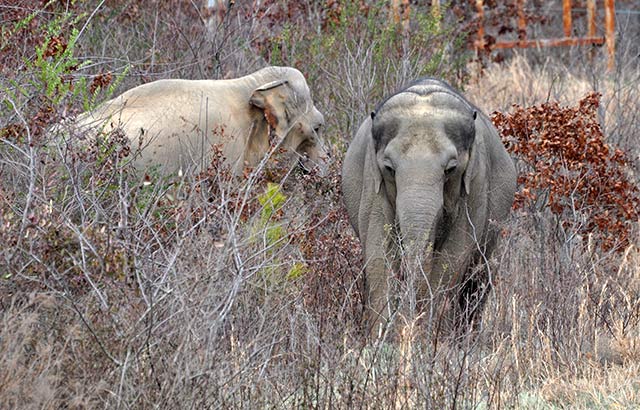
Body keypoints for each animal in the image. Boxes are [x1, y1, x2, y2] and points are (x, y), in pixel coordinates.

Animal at [342, 77, 516, 336]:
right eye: (389, 168)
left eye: (450, 169)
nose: (409, 322)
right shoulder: (371, 181)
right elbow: (378, 253)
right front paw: (381, 338)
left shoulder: (475, 184)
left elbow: (453, 257)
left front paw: (428, 336)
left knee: (479, 280)